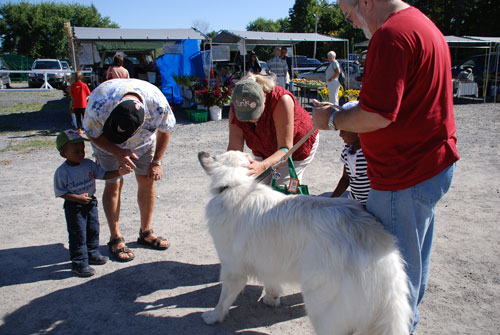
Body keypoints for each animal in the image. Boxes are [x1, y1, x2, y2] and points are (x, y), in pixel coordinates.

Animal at [197, 151, 412, 334]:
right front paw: (272, 298)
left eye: (215, 156)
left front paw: (213, 316)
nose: (201, 153)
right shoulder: (268, 259)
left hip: (320, 304)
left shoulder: (232, 268)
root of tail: (369, 236)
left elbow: (224, 298)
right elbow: (271, 281)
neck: (235, 185)